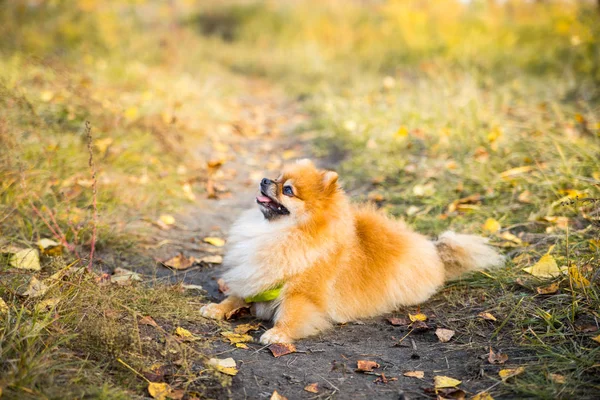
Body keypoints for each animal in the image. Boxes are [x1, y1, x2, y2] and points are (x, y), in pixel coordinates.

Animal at [200, 159, 502, 344]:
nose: (264, 179)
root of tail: (433, 250)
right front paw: (217, 308)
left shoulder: (302, 294)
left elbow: (291, 314)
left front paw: (278, 334)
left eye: (287, 189)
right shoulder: (257, 277)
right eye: (275, 177)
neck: (281, 233)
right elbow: (236, 296)